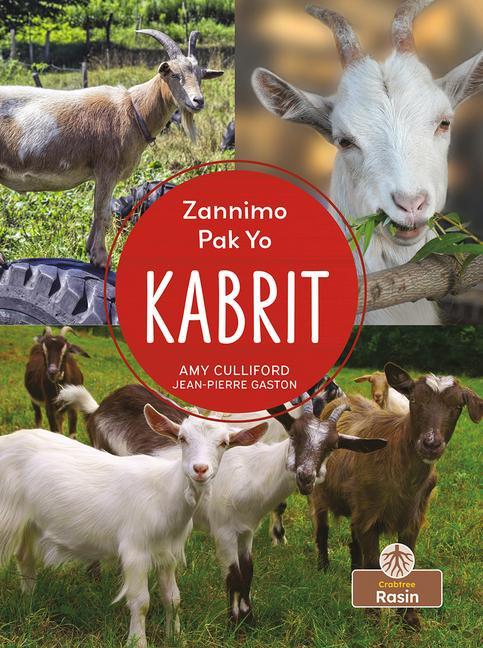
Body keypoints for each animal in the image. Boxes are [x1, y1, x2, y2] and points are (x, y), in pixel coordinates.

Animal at [0, 30, 223, 267]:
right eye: (174, 75)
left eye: (200, 76)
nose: (198, 101)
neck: (133, 110)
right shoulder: (107, 168)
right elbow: (103, 213)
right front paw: (100, 257)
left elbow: (97, 212)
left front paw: (89, 250)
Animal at [0, 408, 267, 647]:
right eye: (182, 438)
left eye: (224, 443)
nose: (200, 469)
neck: (164, 493)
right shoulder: (135, 550)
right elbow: (141, 602)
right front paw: (137, 641)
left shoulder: (167, 552)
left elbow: (173, 598)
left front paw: (176, 637)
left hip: (29, 522)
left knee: (24, 557)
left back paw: (29, 602)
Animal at [58, 385, 386, 624]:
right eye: (294, 434)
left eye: (332, 446)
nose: (306, 476)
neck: (252, 473)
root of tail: (99, 408)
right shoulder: (223, 530)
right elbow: (233, 574)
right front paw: (235, 622)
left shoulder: (246, 530)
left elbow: (248, 571)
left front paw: (249, 619)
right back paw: (94, 576)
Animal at [311, 363, 483, 628]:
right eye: (414, 400)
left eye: (457, 406)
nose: (431, 444)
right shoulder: (369, 514)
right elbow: (372, 563)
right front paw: (373, 616)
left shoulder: (412, 517)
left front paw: (409, 617)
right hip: (322, 493)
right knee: (322, 529)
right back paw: (323, 567)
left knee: (353, 541)